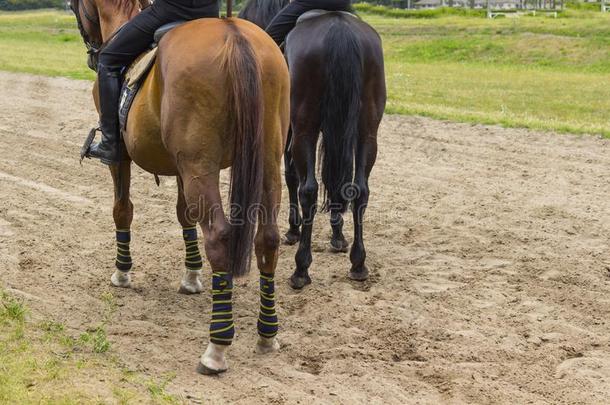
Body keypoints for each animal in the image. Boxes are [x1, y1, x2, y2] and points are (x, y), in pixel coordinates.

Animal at [71, 0, 290, 372]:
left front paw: (123, 272)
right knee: (268, 239)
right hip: (265, 161)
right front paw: (191, 276)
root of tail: (234, 34)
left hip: (201, 165)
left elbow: (122, 211)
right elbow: (183, 214)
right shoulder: (180, 167)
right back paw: (266, 333)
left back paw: (217, 346)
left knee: (219, 235)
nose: (91, 54)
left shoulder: (122, 160)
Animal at [239, 1, 384, 288]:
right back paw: (358, 263)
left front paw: (293, 229)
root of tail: (339, 28)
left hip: (304, 129)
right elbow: (337, 181)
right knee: (359, 189)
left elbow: (292, 177)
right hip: (366, 131)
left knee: (309, 190)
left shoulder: (289, 133)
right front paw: (337, 234)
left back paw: (301, 268)